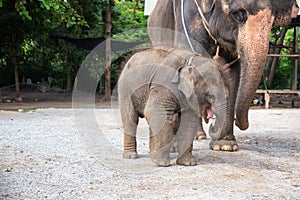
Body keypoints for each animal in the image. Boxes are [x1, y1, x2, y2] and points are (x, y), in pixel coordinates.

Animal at [148, 0, 300, 151]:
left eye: (272, 20)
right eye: (238, 14)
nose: (213, 126)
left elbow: (231, 75)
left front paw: (225, 145)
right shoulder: (188, 20)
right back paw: (195, 136)